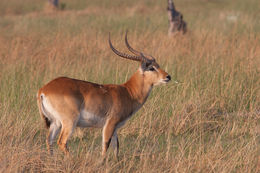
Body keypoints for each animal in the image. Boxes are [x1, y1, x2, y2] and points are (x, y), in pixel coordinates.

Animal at [36, 31, 171, 159]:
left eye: (158, 65)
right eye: (151, 68)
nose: (168, 76)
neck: (128, 92)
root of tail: (43, 90)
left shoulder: (116, 127)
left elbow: (116, 146)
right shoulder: (110, 123)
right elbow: (105, 145)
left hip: (55, 122)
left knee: (49, 140)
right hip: (69, 121)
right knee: (62, 142)